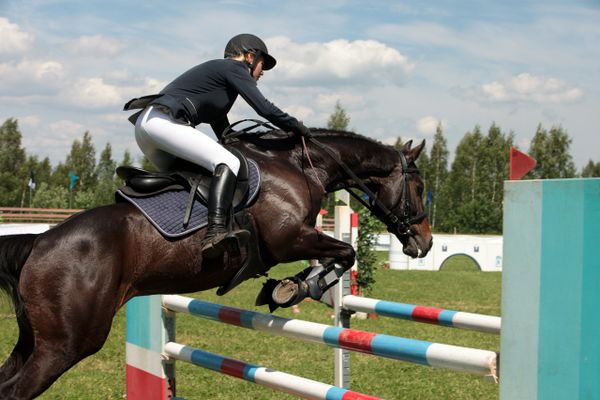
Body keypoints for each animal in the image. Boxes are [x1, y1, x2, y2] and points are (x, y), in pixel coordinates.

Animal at [0, 130, 432, 398]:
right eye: (419, 187)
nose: (425, 243)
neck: (300, 166)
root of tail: (38, 241)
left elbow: (339, 255)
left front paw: (286, 288)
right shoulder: (289, 239)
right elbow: (345, 253)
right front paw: (294, 288)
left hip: (34, 339)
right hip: (67, 344)